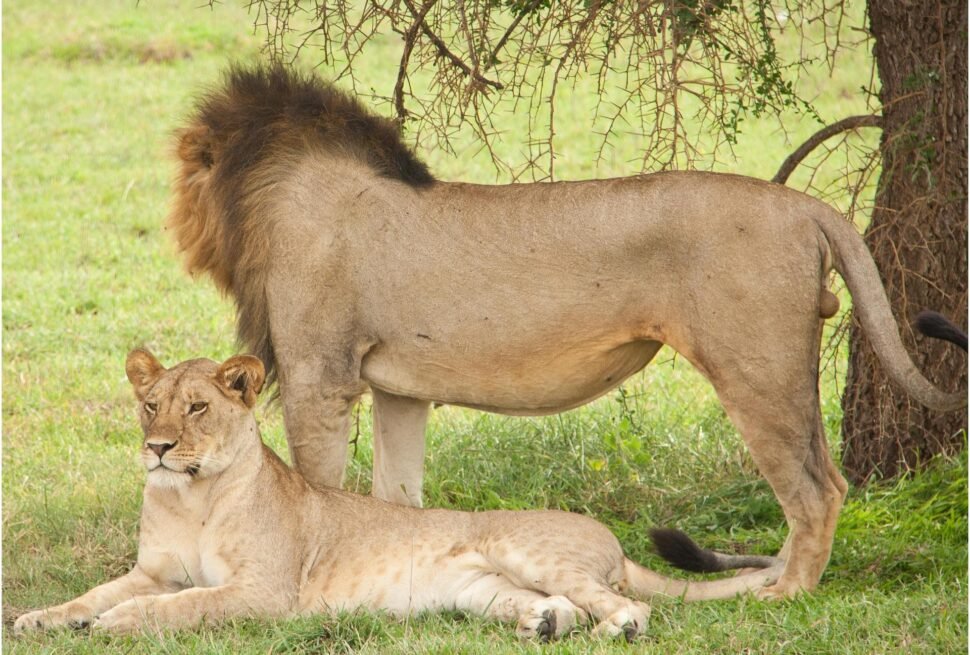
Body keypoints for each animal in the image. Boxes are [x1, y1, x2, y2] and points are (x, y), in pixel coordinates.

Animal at [14, 350, 783, 639]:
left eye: (197, 407)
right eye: (150, 405)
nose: (158, 447)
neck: (192, 497)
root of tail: (613, 542)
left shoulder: (265, 592)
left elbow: (183, 604)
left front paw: (118, 623)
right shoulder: (151, 567)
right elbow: (92, 593)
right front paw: (38, 618)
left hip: (526, 550)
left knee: (631, 607)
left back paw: (606, 632)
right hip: (482, 590)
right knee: (555, 605)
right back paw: (544, 626)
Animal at [167, 64, 966, 599]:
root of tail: (806, 207)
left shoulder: (320, 378)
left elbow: (318, 489)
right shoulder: (399, 392)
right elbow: (398, 500)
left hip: (756, 371)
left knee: (817, 492)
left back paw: (785, 595)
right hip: (779, 369)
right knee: (825, 481)